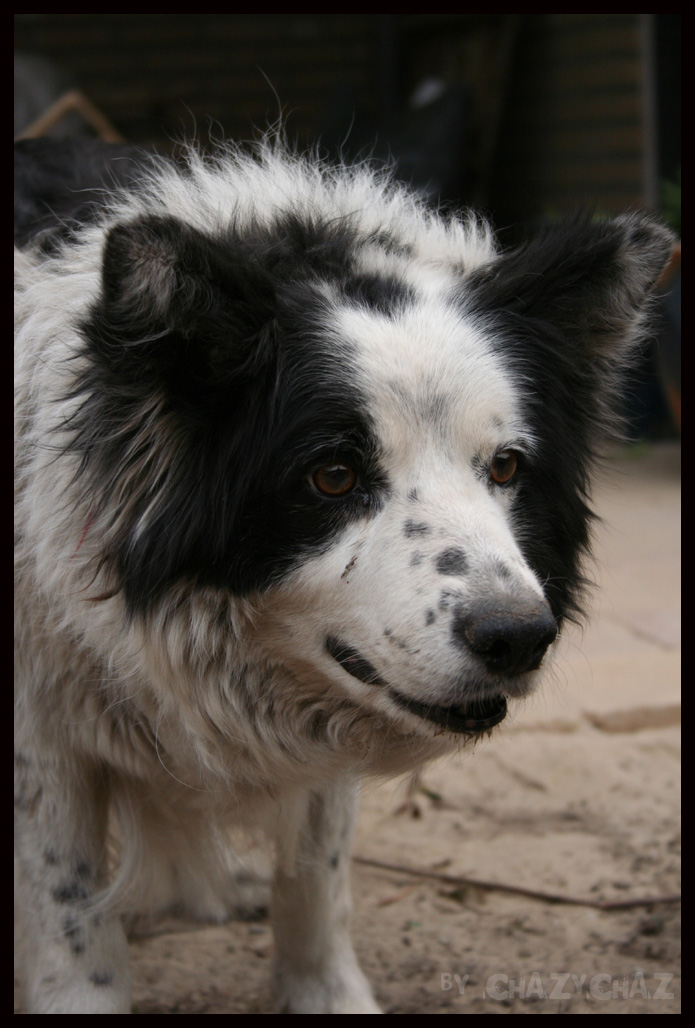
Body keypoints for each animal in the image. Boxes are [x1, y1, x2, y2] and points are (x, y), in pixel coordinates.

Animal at [12, 138, 674, 1011]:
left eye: (505, 466)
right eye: (332, 477)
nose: (519, 639)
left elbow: (316, 875)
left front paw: (323, 990)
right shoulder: (40, 728)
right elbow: (69, 911)